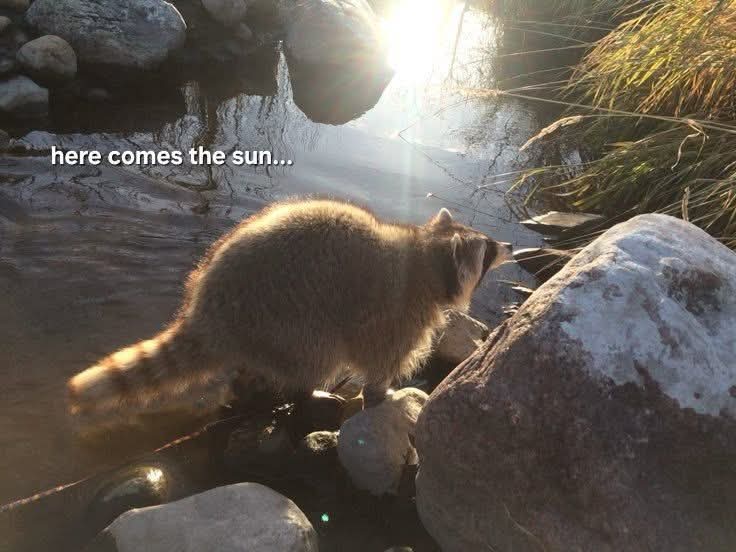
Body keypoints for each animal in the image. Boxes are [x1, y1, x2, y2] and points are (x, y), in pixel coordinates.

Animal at [67, 199, 511, 431]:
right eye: (489, 249)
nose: (509, 245)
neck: (426, 256)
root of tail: (207, 311)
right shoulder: (396, 314)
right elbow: (380, 365)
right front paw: (383, 397)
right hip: (285, 318)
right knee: (319, 354)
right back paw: (306, 391)